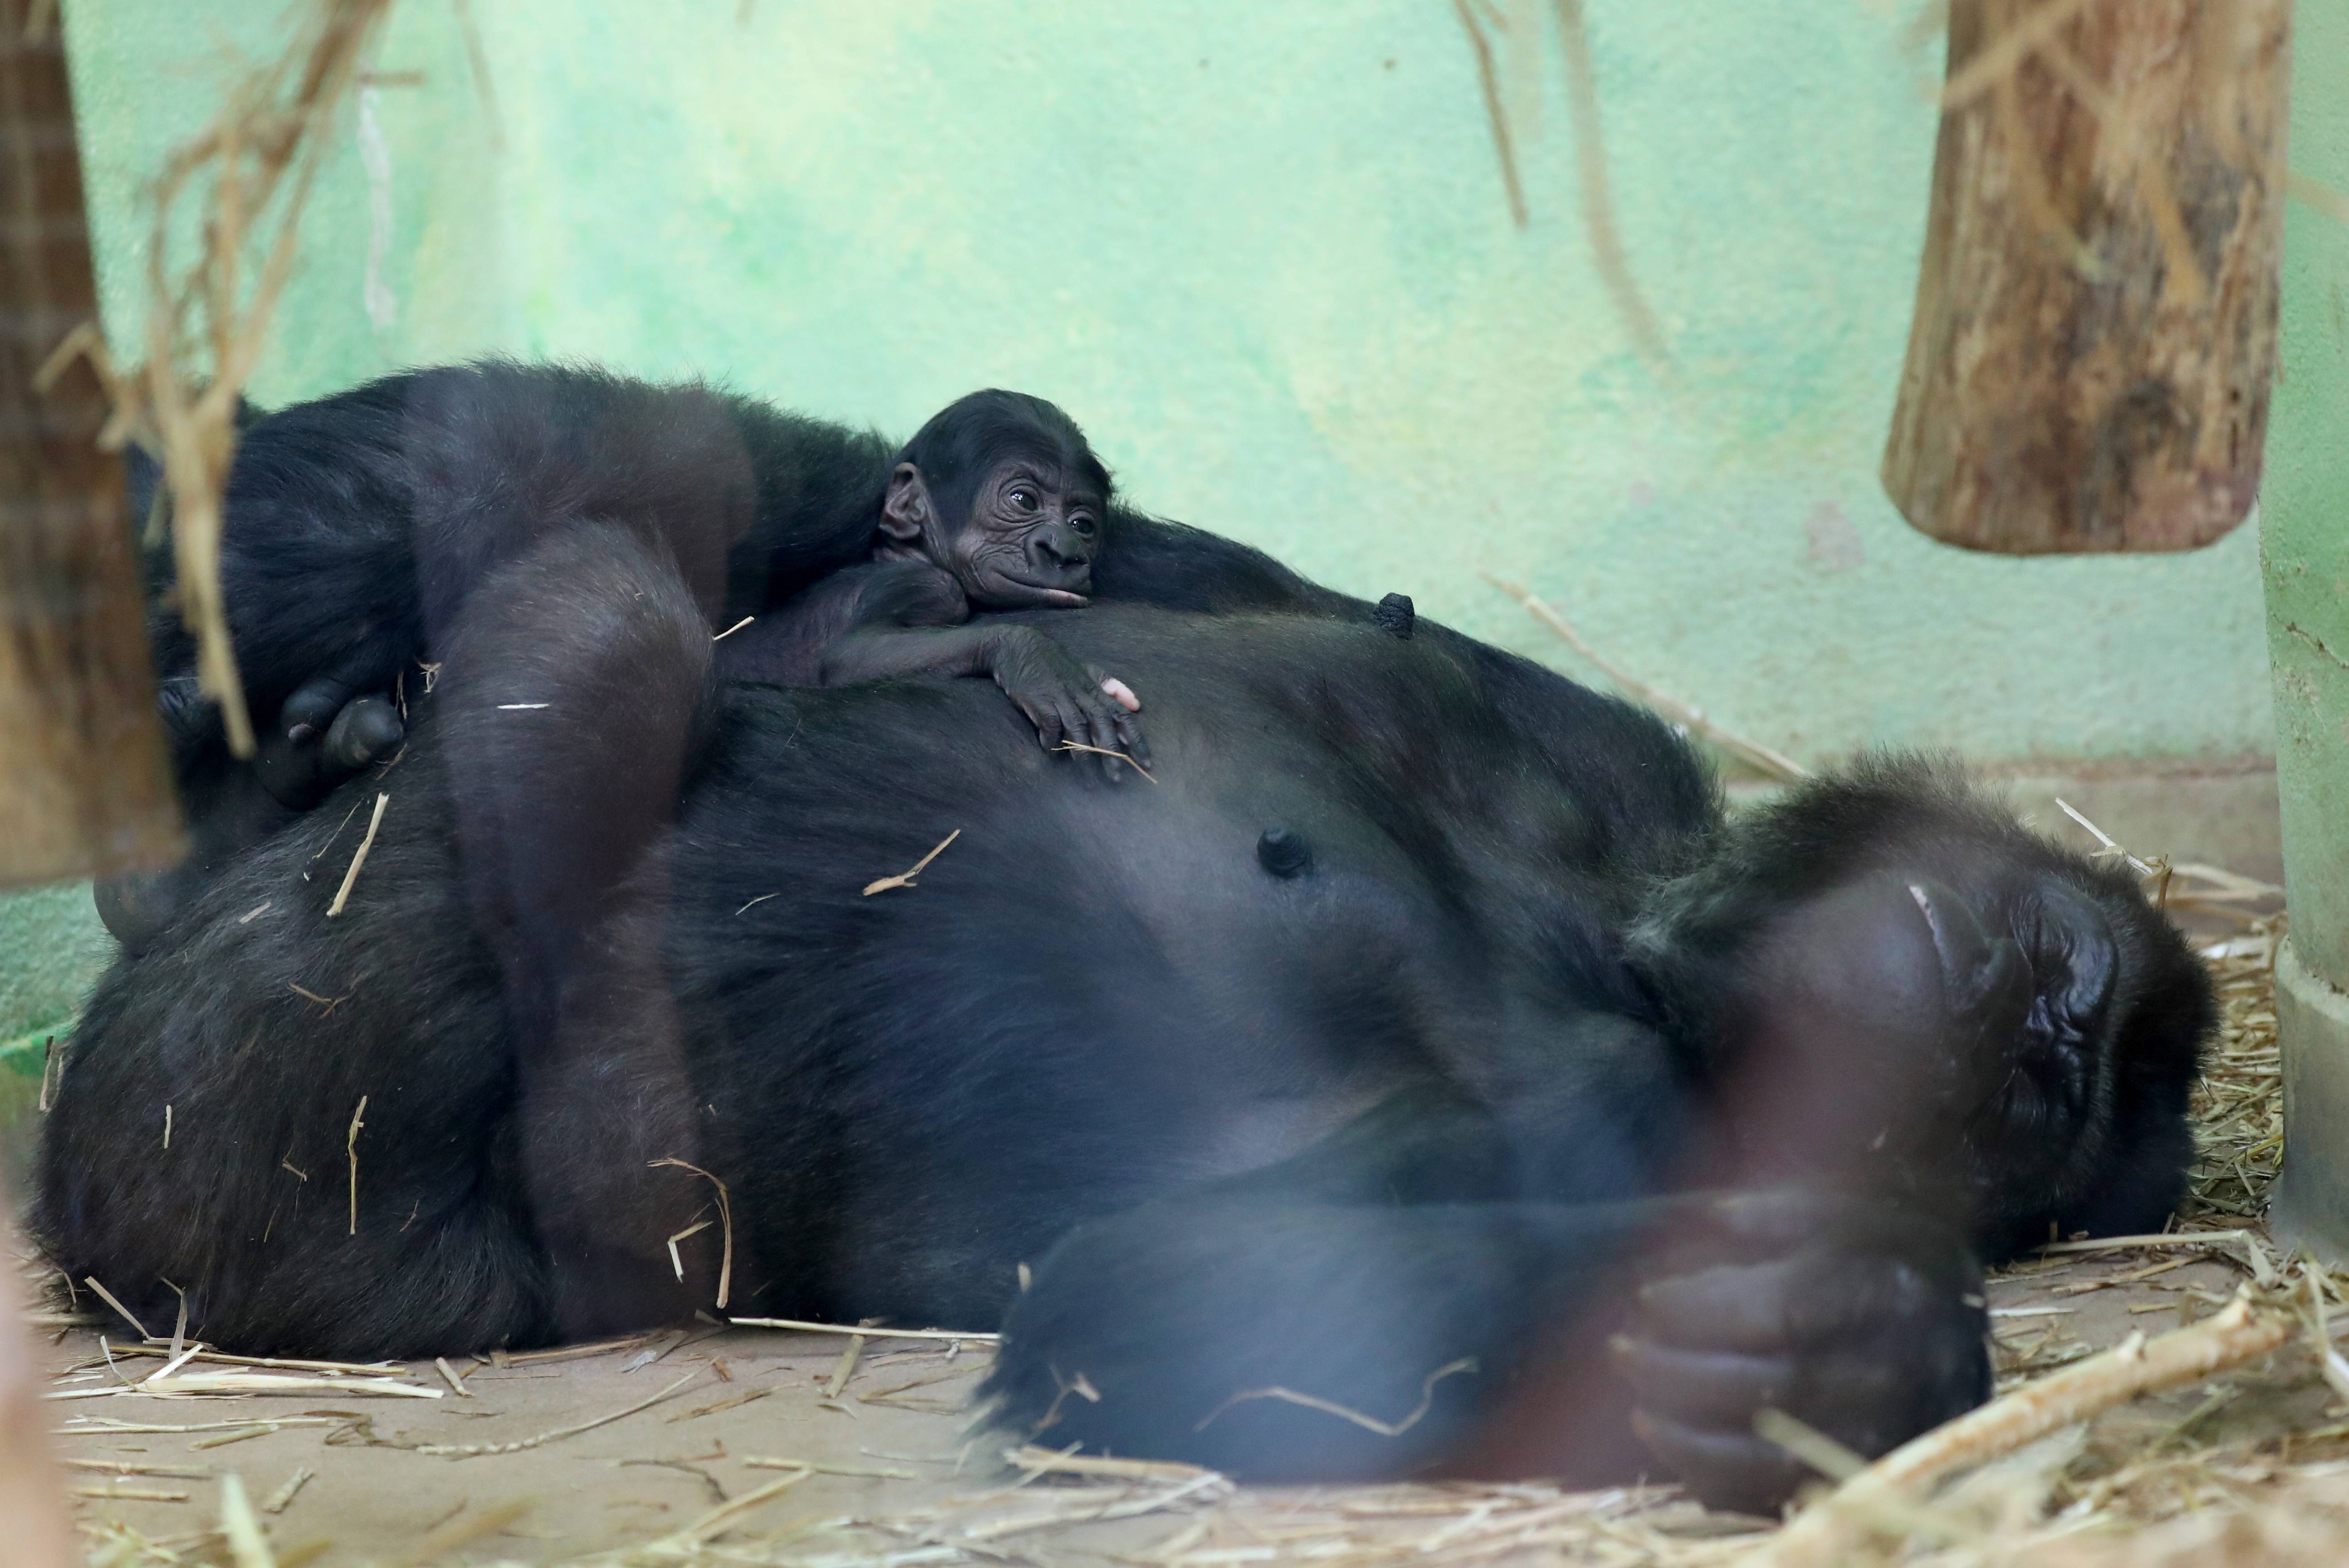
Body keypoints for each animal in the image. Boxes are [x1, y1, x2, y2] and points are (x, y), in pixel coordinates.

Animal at [32, 521, 2199, 1512]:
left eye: (2047, 1104)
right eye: (2082, 1026)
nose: (2049, 1030)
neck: (1610, 929)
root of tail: (69, 1234)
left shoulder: (1602, 1113)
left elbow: (1206, 1299)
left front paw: (1831, 1347)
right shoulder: (1585, 746)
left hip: (249, 1199)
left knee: (596, 636)